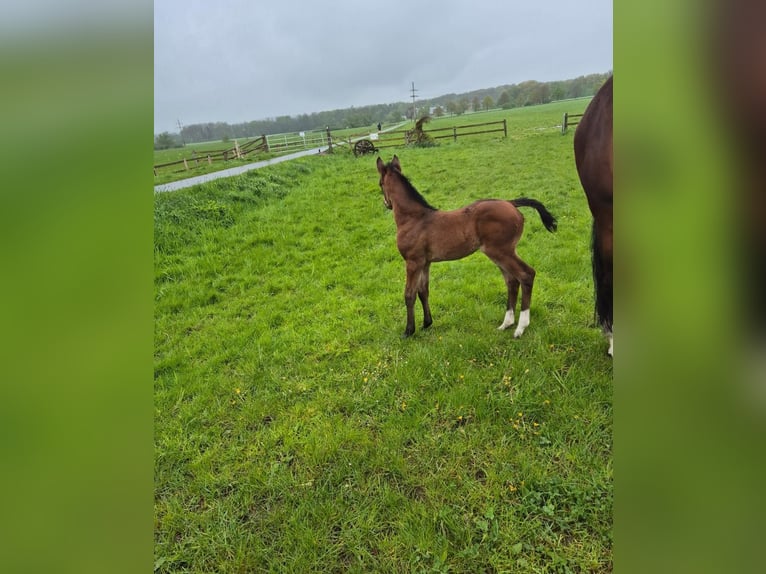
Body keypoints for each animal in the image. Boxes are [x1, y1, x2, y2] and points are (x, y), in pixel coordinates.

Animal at [378, 155, 560, 340]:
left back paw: (520, 327)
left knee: (526, 274)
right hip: (500, 253)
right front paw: (427, 323)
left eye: (380, 184)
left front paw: (408, 331)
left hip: (500, 251)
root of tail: (510, 203)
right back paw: (506, 324)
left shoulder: (412, 261)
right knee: (512, 280)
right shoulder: (425, 262)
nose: (387, 204)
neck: (414, 219)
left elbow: (409, 294)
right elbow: (423, 291)